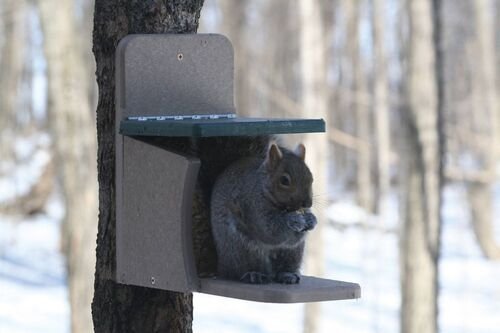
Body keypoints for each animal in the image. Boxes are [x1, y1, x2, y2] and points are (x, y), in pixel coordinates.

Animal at [210, 141, 316, 284]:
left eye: (311, 177)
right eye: (284, 180)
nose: (308, 204)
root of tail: (222, 266)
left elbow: (293, 239)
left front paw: (311, 220)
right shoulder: (252, 204)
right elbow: (269, 230)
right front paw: (293, 220)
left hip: (293, 253)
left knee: (284, 266)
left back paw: (288, 274)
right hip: (242, 250)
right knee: (239, 271)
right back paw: (254, 274)